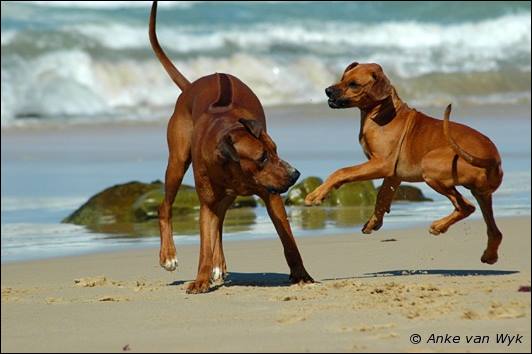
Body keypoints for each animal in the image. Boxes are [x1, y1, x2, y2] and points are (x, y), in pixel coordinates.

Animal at [148, 1, 314, 294]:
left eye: (275, 150)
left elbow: (289, 242)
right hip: (178, 160)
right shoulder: (206, 201)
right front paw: (201, 278)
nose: (295, 174)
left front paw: (301, 274)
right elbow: (204, 240)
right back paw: (169, 255)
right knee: (165, 207)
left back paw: (218, 263)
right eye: (262, 157)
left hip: (226, 192)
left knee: (222, 219)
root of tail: (191, 86)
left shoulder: (271, 195)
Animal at [306, 62, 504, 264]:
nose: (327, 90)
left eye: (354, 84)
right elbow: (382, 197)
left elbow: (342, 171)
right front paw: (374, 222)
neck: (382, 112)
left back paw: (439, 226)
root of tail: (492, 157)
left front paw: (316, 195)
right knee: (494, 230)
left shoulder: (381, 164)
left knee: (466, 206)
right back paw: (489, 255)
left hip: (430, 167)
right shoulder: (393, 175)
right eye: (343, 78)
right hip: (482, 194)